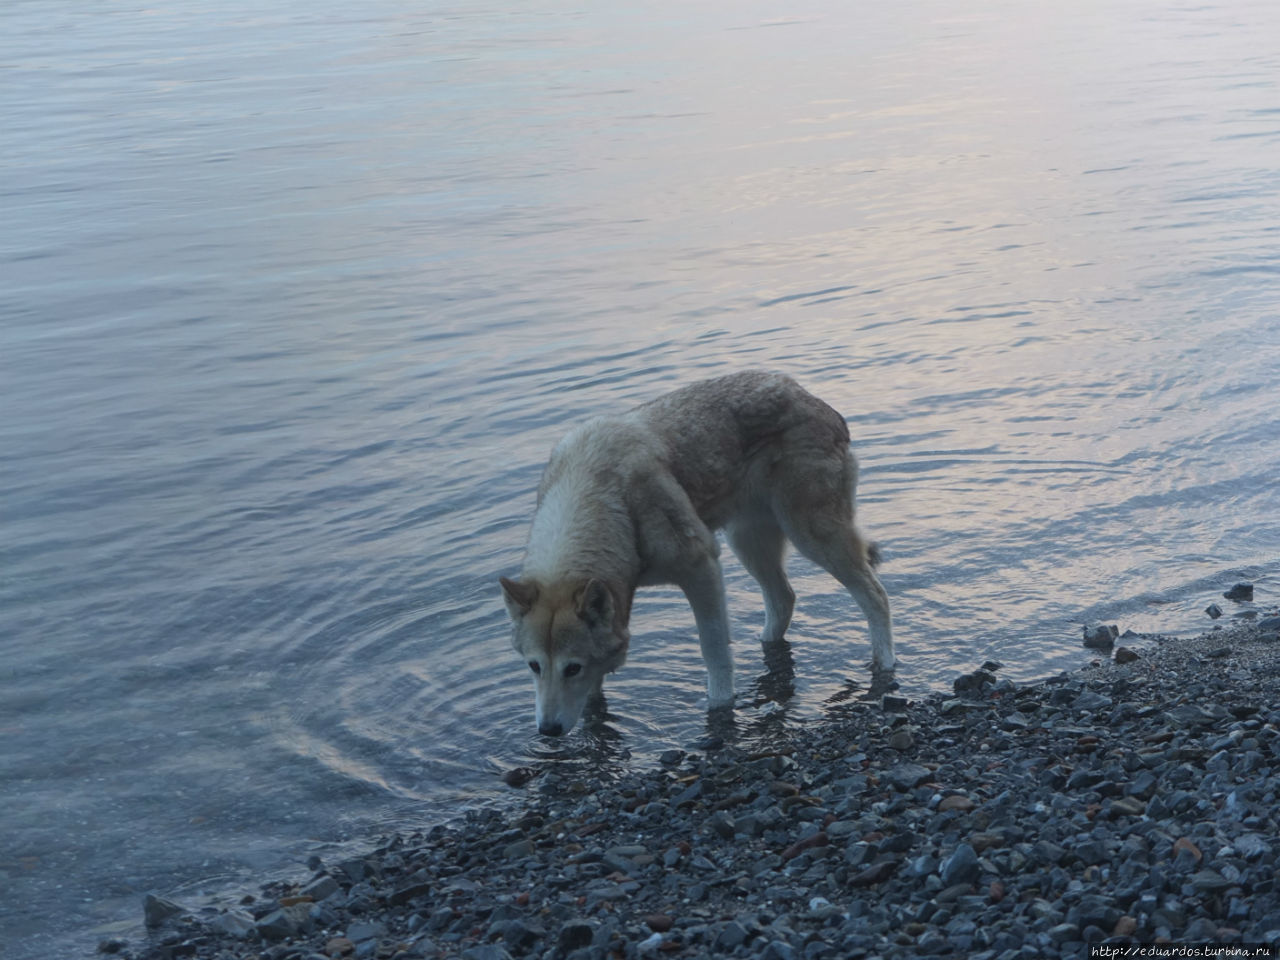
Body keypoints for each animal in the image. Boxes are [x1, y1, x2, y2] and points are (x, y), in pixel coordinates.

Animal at [496, 371, 890, 737]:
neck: (599, 494)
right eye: (534, 666)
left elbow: (713, 650)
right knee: (783, 598)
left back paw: (885, 667)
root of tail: (812, 398)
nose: (547, 731)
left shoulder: (702, 568)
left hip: (812, 535)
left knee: (876, 596)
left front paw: (719, 708)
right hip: (747, 541)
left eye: (571, 667)